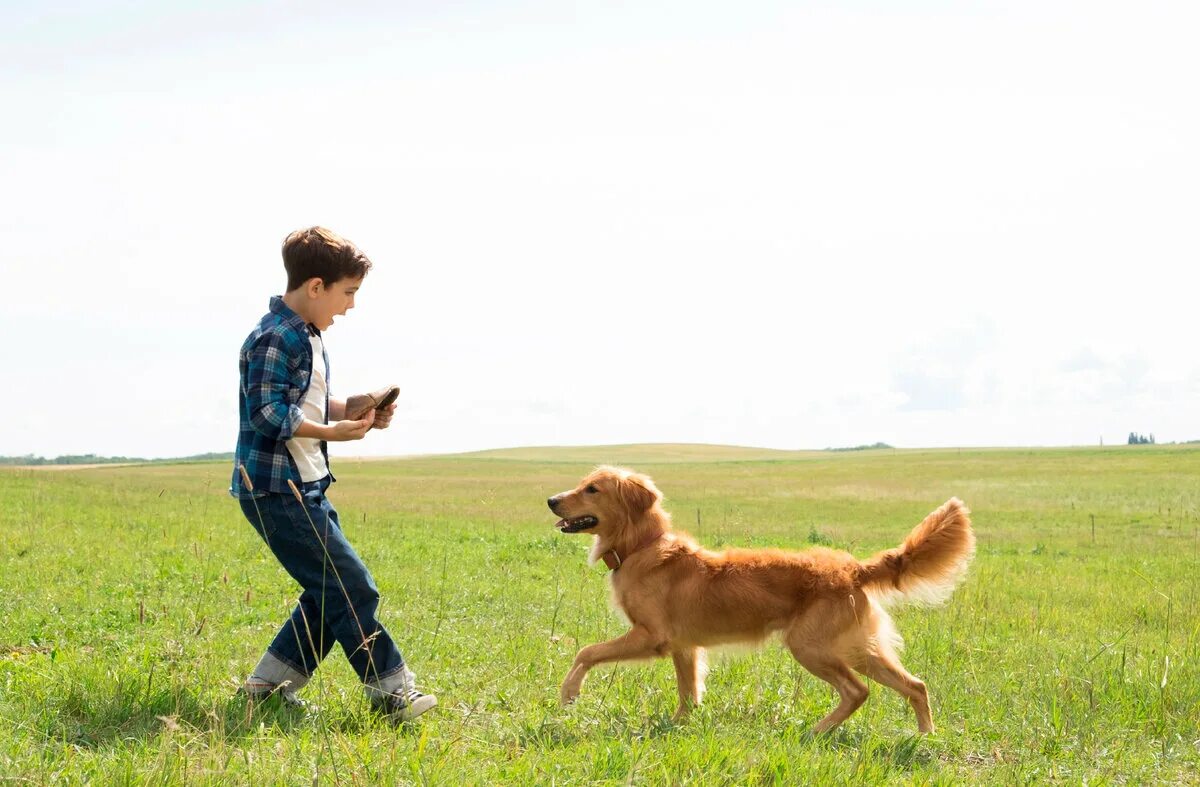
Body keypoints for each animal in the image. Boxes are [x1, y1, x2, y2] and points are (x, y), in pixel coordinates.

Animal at [544, 467, 974, 729]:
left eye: (592, 488)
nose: (550, 500)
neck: (641, 547)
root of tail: (853, 569)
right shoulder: (685, 647)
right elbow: (688, 692)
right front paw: (680, 725)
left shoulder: (651, 637)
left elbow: (585, 652)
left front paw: (569, 695)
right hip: (856, 648)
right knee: (915, 685)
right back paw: (924, 736)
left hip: (811, 646)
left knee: (858, 691)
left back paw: (816, 731)